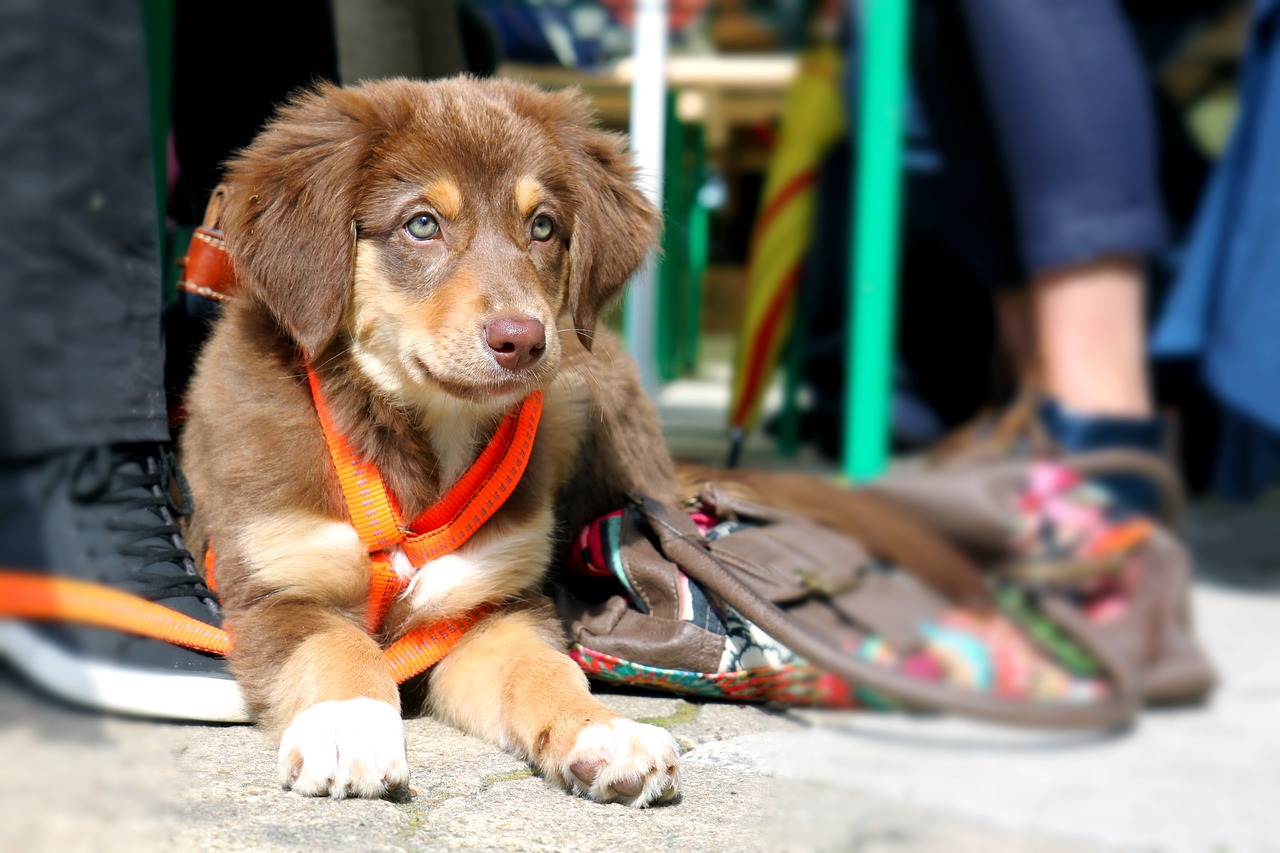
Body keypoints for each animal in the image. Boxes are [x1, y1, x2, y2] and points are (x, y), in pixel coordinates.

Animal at [181, 78, 686, 804]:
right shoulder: (274, 589)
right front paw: (350, 723)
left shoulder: (487, 607)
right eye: (422, 224)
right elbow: (336, 645)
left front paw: (603, 729)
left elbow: (543, 668)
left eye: (542, 226)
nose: (523, 341)